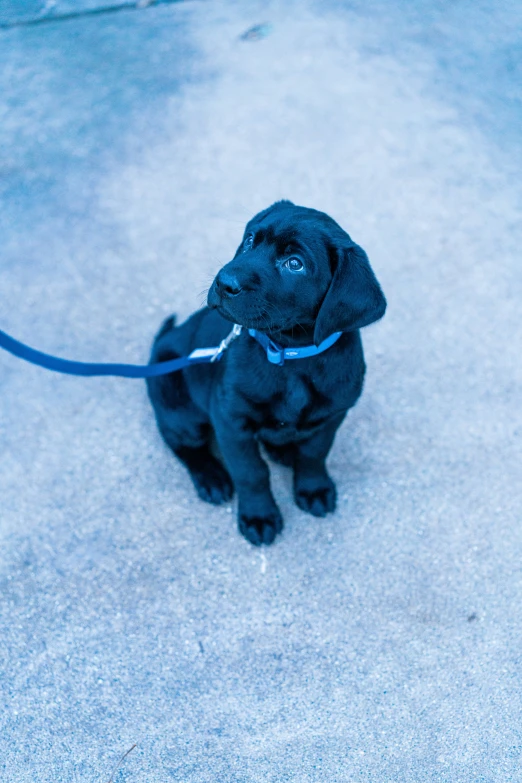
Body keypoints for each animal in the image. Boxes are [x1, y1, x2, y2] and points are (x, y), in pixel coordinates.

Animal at [145, 202, 382, 544]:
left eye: (294, 264)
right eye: (250, 240)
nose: (224, 282)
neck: (290, 355)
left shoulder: (332, 416)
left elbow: (315, 453)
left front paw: (313, 488)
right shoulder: (230, 418)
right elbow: (251, 472)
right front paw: (259, 516)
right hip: (178, 406)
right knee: (181, 443)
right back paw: (211, 477)